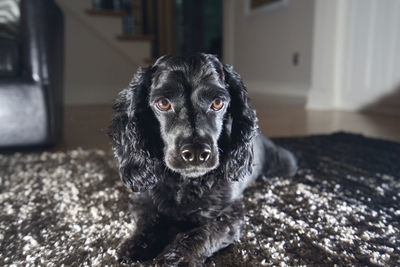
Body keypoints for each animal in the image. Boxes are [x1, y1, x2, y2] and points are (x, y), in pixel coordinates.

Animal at [109, 54, 296, 266]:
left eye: (218, 103)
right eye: (163, 103)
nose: (196, 153)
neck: (183, 183)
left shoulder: (229, 214)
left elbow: (201, 234)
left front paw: (176, 257)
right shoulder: (142, 200)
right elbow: (147, 222)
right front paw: (134, 246)